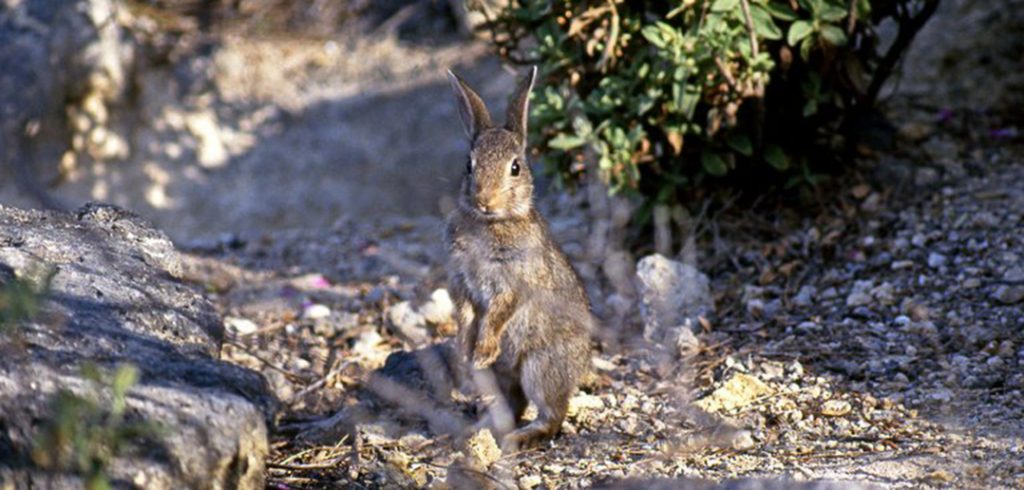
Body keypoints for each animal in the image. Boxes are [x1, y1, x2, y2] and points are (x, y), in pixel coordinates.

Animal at [442, 65, 593, 452]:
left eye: (515, 168)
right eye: (469, 165)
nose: (484, 200)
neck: (492, 222)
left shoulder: (514, 280)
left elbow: (498, 311)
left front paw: (482, 349)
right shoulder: (460, 280)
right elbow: (465, 314)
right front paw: (465, 351)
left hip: (539, 366)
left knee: (551, 413)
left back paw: (520, 437)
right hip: (502, 377)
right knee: (515, 403)